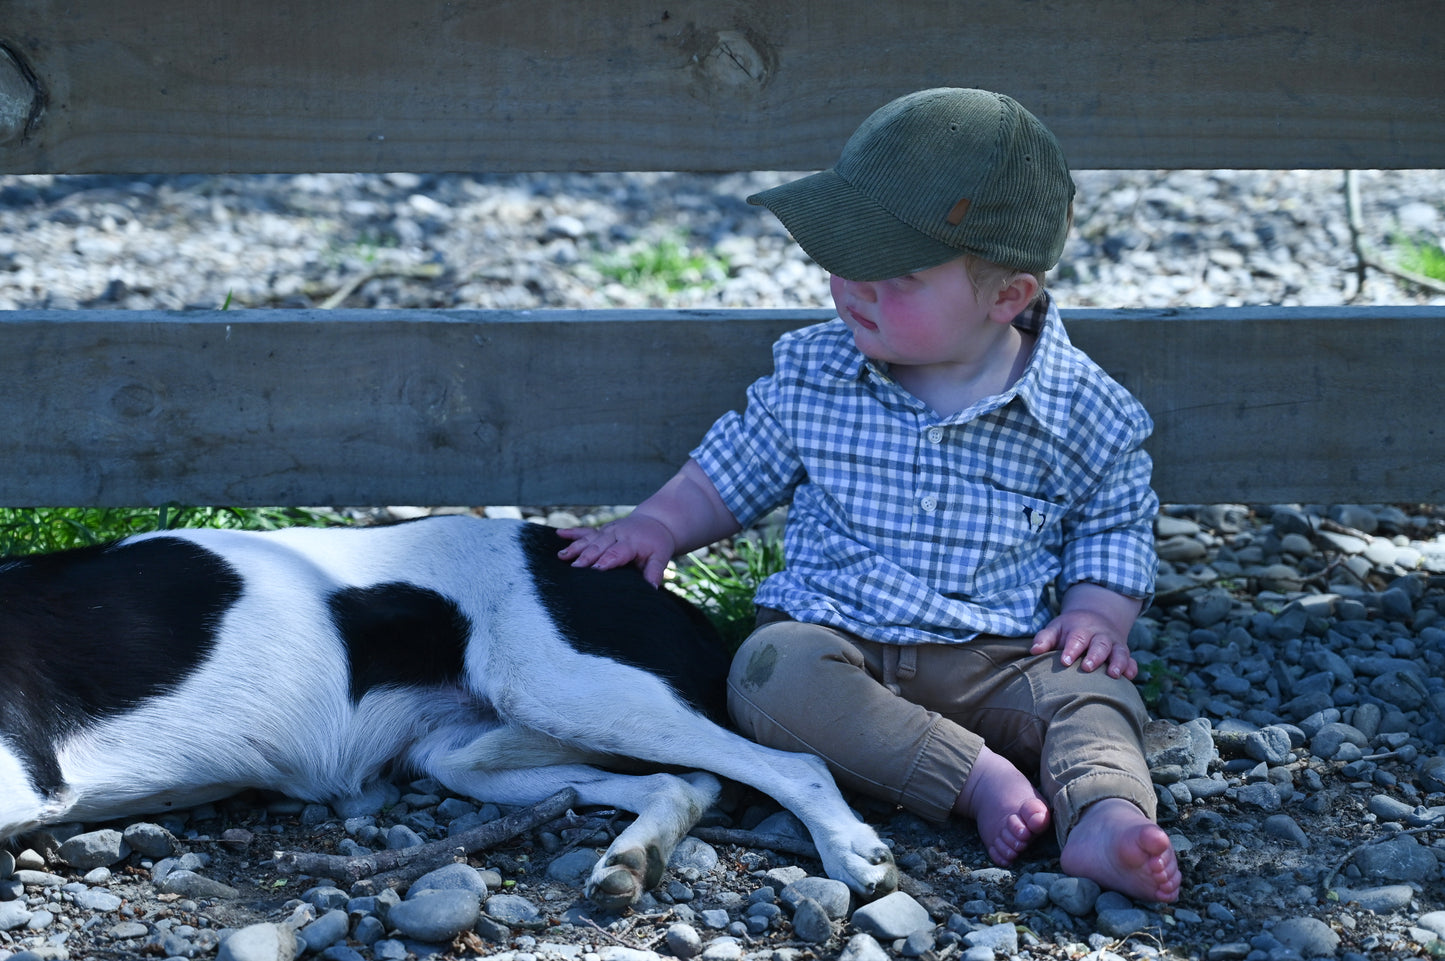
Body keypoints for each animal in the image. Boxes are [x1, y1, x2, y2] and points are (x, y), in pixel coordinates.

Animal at [0, 514, 895, 901]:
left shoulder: (26, 776)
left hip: (570, 686)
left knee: (791, 764)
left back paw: (851, 849)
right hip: (469, 757)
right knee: (683, 783)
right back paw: (632, 858)